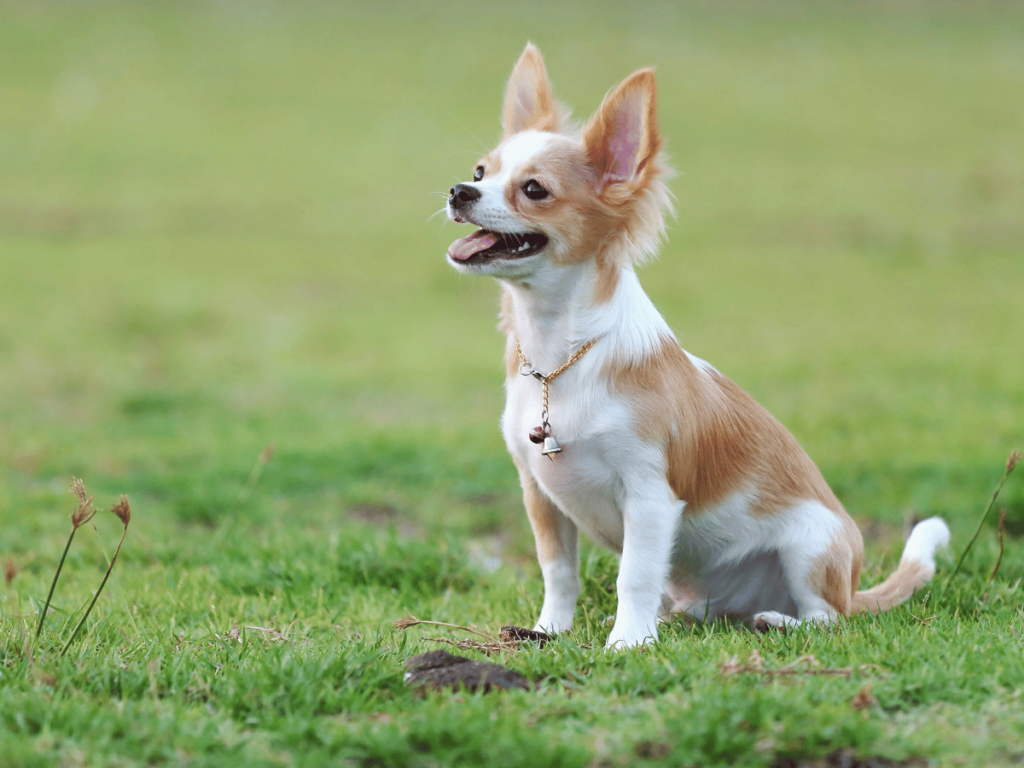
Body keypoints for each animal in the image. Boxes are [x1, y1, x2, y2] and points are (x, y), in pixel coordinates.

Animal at [444, 45, 946, 647]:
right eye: (481, 172)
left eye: (534, 190)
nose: (459, 191)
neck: (559, 358)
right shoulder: (540, 493)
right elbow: (558, 570)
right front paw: (549, 631)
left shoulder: (650, 498)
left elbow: (633, 574)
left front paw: (627, 643)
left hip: (812, 546)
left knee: (827, 617)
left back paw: (777, 620)